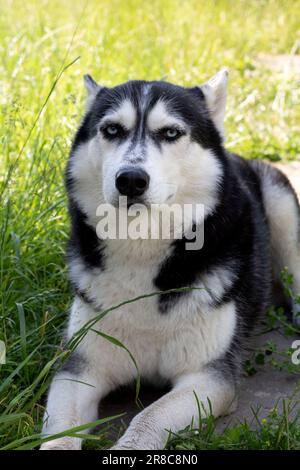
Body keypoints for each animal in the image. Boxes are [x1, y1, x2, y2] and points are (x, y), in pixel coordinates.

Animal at [40, 70, 300, 452]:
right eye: (112, 129)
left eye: (171, 132)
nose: (131, 180)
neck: (141, 245)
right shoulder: (80, 367)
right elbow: (60, 434)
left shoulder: (207, 377)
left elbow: (149, 418)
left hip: (280, 203)